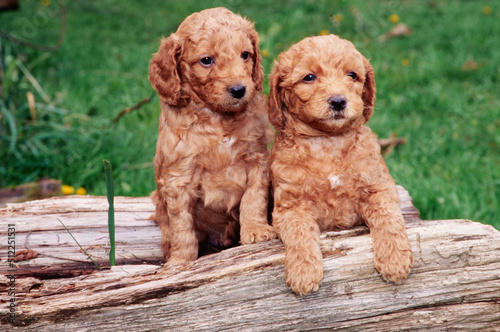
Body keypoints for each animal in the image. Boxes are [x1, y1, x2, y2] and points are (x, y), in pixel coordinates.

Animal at [270, 35, 414, 294]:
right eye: (309, 77)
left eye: (352, 75)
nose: (338, 101)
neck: (329, 141)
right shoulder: (290, 205)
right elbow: (298, 232)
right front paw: (303, 272)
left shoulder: (379, 187)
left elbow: (389, 218)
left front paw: (395, 260)